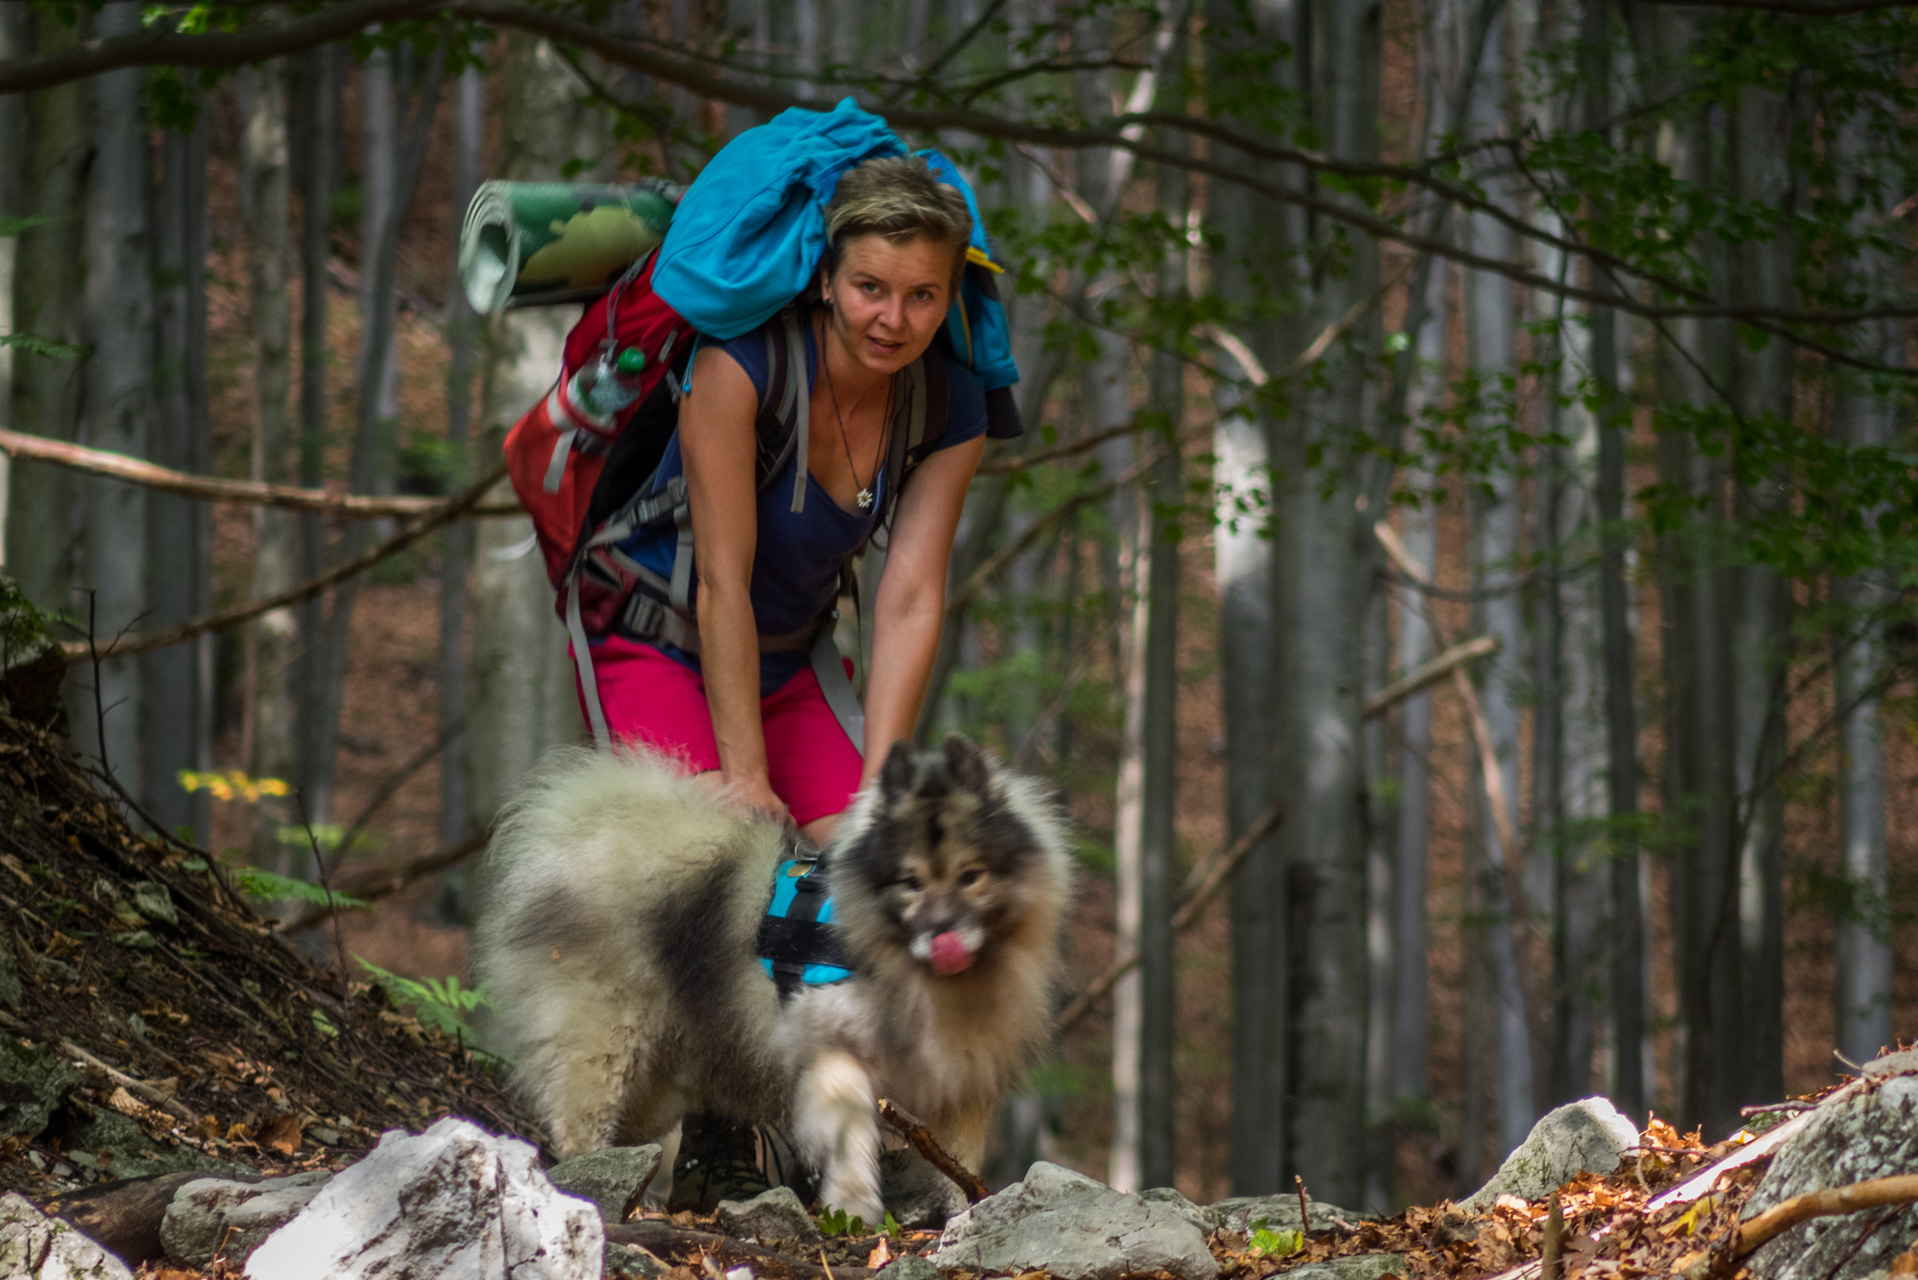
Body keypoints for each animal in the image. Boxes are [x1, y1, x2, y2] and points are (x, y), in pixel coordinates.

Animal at [471, 736, 1074, 1228]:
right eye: (911, 882)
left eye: (971, 877)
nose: (943, 937)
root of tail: (584, 826)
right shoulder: (829, 1047)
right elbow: (851, 1128)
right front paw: (853, 1204)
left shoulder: (960, 1080)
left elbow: (956, 1161)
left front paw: (963, 1212)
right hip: (604, 1041)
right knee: (581, 1120)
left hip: (660, 1078)